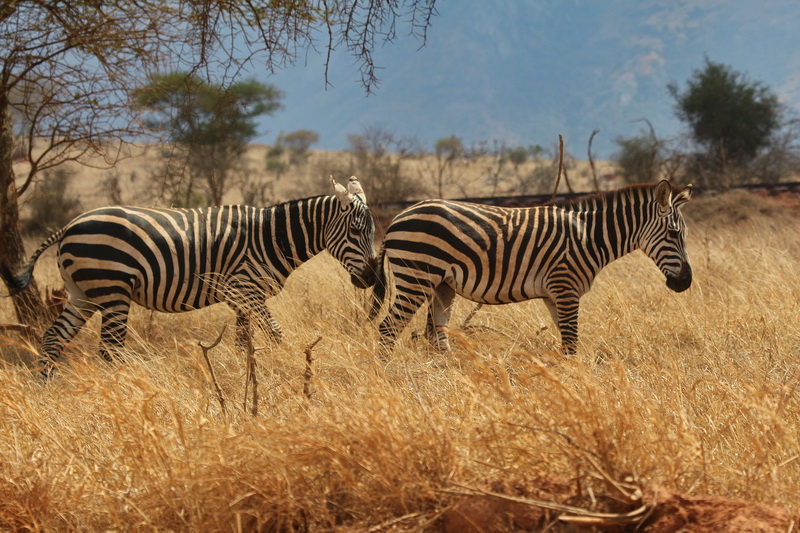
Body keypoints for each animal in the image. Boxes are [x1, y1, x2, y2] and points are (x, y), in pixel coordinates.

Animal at [5, 176, 376, 377]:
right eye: (356, 231)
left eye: (372, 231)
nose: (372, 278)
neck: (270, 237)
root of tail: (70, 225)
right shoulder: (246, 289)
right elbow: (276, 335)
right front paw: (288, 371)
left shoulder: (241, 299)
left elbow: (244, 343)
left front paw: (246, 377)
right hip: (113, 292)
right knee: (109, 351)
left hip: (82, 294)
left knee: (52, 339)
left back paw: (45, 388)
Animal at [368, 180, 692, 355]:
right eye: (674, 233)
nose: (686, 282)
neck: (589, 237)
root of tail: (399, 216)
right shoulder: (565, 288)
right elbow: (571, 343)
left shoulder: (554, 295)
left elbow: (568, 343)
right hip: (415, 277)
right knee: (388, 328)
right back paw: (388, 378)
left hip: (442, 285)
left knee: (437, 336)